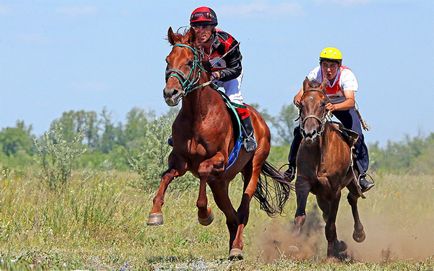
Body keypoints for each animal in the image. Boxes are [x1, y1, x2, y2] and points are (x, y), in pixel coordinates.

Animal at [147, 28, 292, 262]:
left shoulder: (218, 159)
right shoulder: (179, 160)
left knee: (243, 209)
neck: (198, 114)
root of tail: (261, 122)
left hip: (252, 168)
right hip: (220, 183)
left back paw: (237, 248)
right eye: (167, 60)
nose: (170, 93)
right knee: (231, 214)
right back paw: (233, 245)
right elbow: (166, 176)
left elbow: (203, 171)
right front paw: (155, 214)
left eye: (189, 62)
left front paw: (204, 215)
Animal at [294, 78, 368, 260]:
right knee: (327, 212)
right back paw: (340, 245)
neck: (320, 153)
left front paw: (331, 257)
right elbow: (301, 216)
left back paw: (358, 234)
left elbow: (330, 224)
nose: (310, 132)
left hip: (351, 183)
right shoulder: (303, 184)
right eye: (301, 104)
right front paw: (293, 245)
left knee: (352, 199)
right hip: (321, 193)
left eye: (323, 104)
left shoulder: (334, 190)